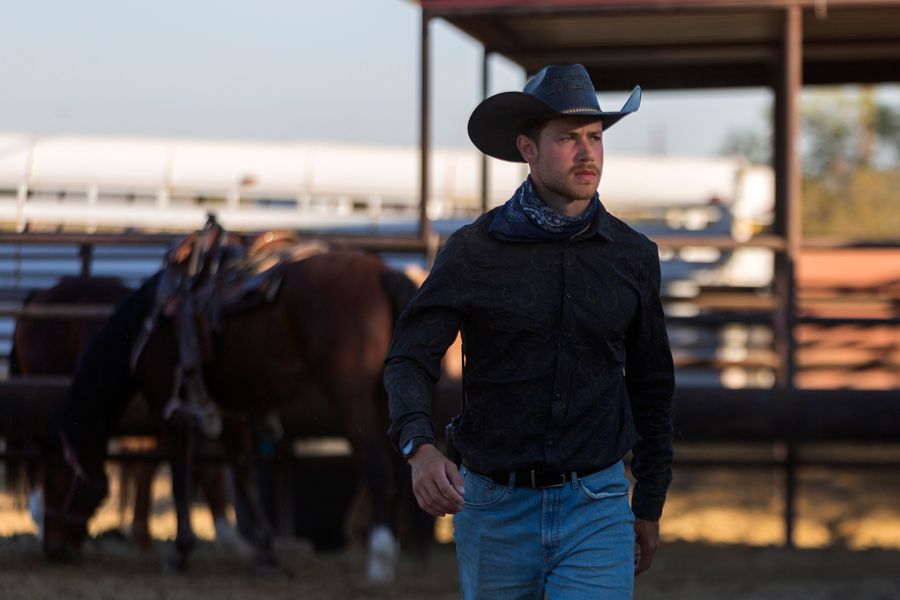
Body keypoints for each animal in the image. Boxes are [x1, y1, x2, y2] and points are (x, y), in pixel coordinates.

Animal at [41, 245, 422, 580]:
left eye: (57, 479)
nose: (53, 548)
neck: (151, 323)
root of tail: (382, 273)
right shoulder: (232, 413)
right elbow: (245, 476)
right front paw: (265, 555)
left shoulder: (169, 410)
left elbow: (181, 479)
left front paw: (179, 554)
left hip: (355, 404)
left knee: (379, 474)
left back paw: (380, 564)